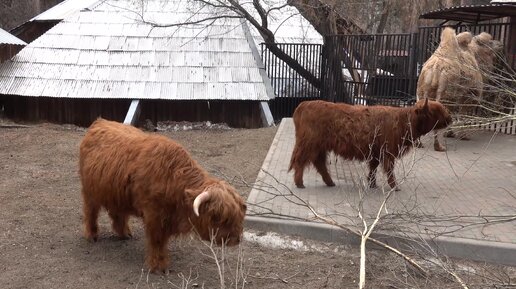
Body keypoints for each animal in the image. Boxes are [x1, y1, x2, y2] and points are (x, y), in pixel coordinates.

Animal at [79, 118, 247, 272]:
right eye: (218, 217)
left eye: (238, 215)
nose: (236, 239)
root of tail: (100, 121)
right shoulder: (154, 216)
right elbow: (157, 241)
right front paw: (158, 266)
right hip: (89, 192)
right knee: (90, 212)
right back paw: (92, 236)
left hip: (116, 193)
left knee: (118, 213)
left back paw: (124, 234)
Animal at [288, 98, 450, 190]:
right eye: (437, 111)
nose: (450, 118)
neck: (404, 121)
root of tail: (303, 105)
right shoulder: (388, 153)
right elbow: (389, 170)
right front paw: (395, 186)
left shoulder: (376, 153)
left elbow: (373, 168)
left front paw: (372, 184)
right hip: (308, 144)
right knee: (300, 161)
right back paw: (300, 183)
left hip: (319, 147)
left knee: (319, 163)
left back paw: (330, 182)